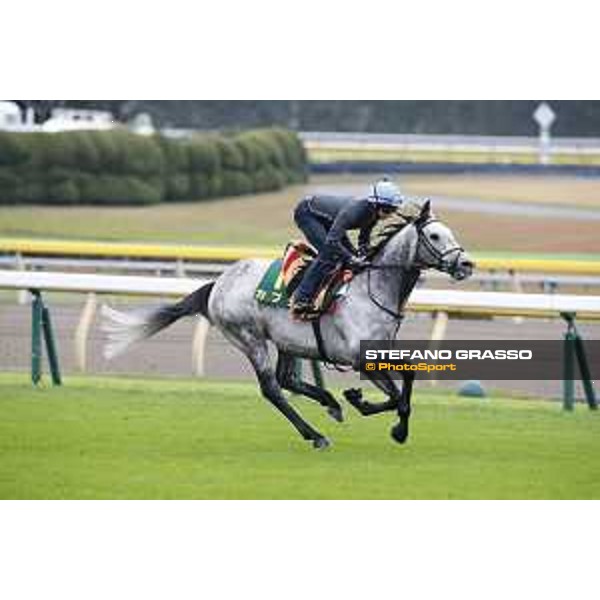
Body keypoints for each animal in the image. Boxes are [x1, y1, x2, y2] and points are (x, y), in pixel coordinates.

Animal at [103, 202, 474, 450]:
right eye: (435, 235)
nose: (467, 264)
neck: (374, 287)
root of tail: (218, 283)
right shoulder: (358, 357)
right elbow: (397, 394)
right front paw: (374, 411)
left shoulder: (379, 350)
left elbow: (406, 380)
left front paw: (371, 410)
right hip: (250, 338)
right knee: (272, 388)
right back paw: (316, 434)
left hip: (286, 341)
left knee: (287, 379)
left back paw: (330, 403)